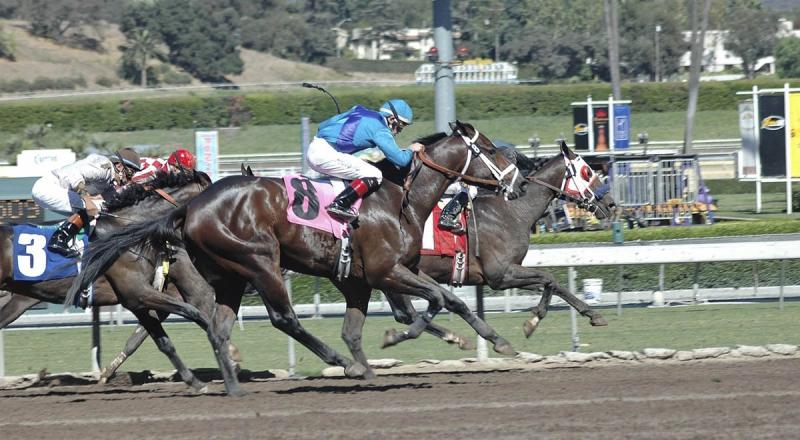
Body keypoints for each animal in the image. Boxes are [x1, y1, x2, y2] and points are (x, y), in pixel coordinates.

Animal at [0, 171, 214, 390]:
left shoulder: (138, 301)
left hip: (15, 300)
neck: (125, 231)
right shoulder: (138, 293)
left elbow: (163, 342)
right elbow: (194, 312)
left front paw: (196, 381)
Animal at [68, 121, 527, 394]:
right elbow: (432, 302)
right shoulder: (386, 270)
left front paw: (495, 341)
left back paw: (233, 385)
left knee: (216, 325)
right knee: (282, 318)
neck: (401, 197)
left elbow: (435, 302)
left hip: (230, 275)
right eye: (490, 149)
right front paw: (394, 340)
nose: (519, 183)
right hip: (259, 261)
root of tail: (191, 207)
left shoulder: (365, 278)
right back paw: (338, 363)